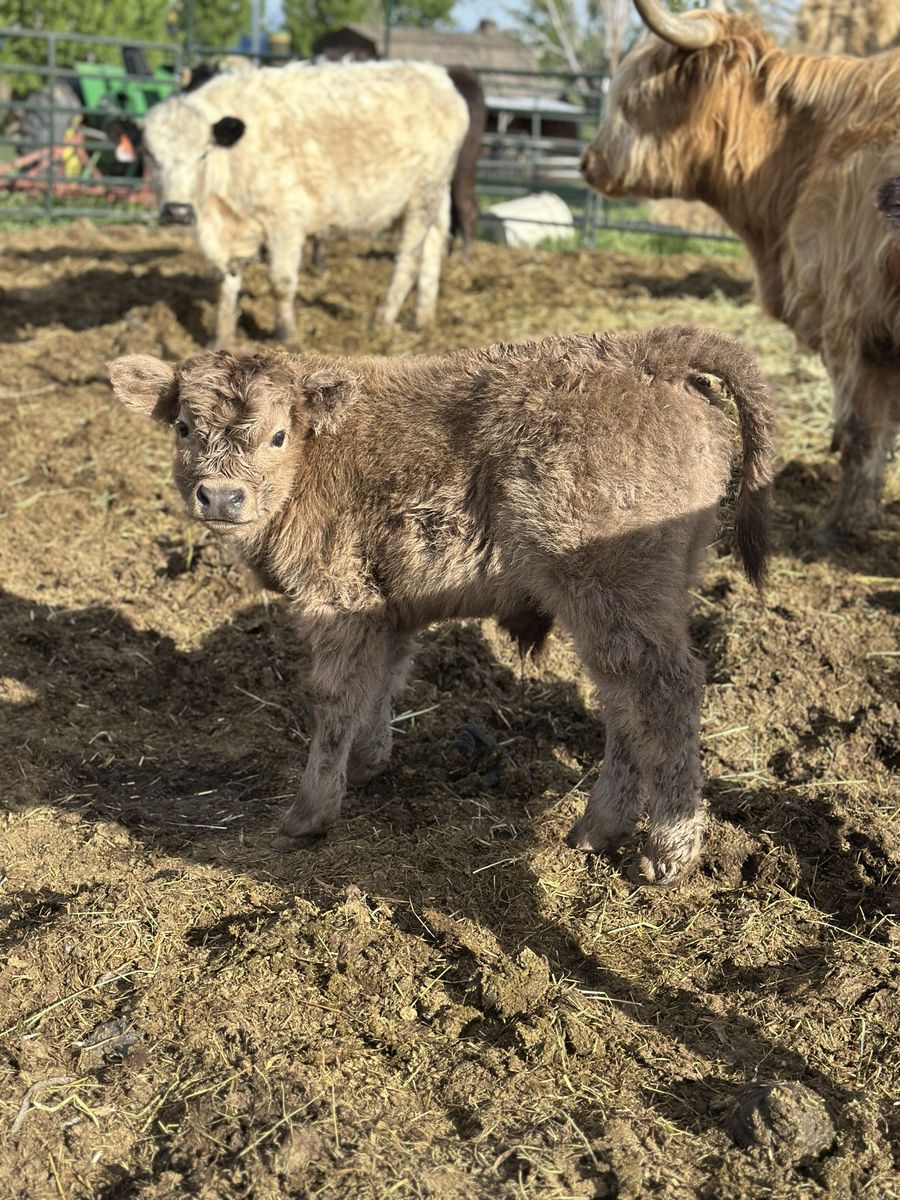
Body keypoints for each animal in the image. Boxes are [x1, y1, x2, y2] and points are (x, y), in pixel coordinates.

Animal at [108, 326, 774, 886]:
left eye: (277, 434)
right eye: (183, 427)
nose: (221, 497)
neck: (320, 454)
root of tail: (645, 354)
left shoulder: (337, 601)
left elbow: (333, 698)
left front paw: (308, 814)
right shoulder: (388, 607)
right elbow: (381, 682)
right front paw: (369, 762)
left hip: (611, 592)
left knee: (662, 689)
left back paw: (666, 853)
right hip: (631, 600)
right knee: (623, 700)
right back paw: (595, 831)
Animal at [141, 61, 469, 344]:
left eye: (203, 153)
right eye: (151, 156)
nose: (177, 211)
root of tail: (435, 73)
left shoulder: (285, 220)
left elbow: (281, 282)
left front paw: (286, 335)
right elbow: (226, 284)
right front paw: (221, 338)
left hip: (421, 198)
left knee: (408, 261)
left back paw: (382, 320)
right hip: (435, 197)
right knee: (434, 247)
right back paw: (422, 319)